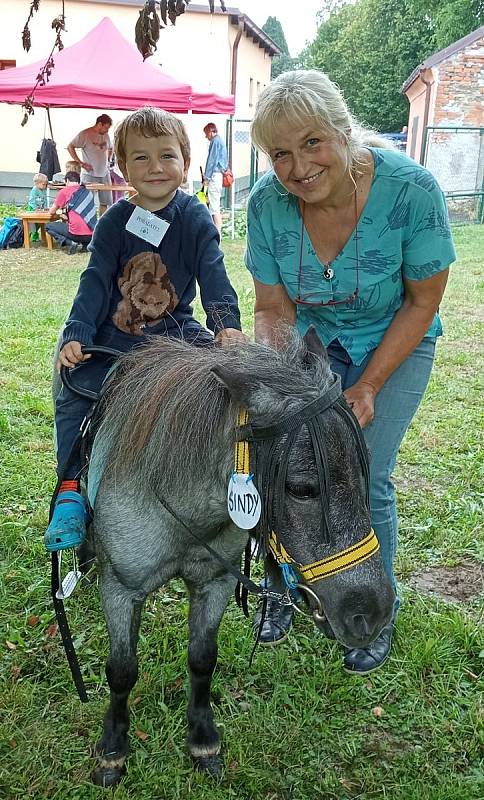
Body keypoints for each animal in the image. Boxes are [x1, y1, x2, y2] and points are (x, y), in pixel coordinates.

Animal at [81, 328, 394, 784]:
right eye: (302, 488)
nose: (373, 613)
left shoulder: (216, 583)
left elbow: (202, 660)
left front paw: (202, 739)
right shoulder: (120, 591)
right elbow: (121, 671)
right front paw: (113, 749)